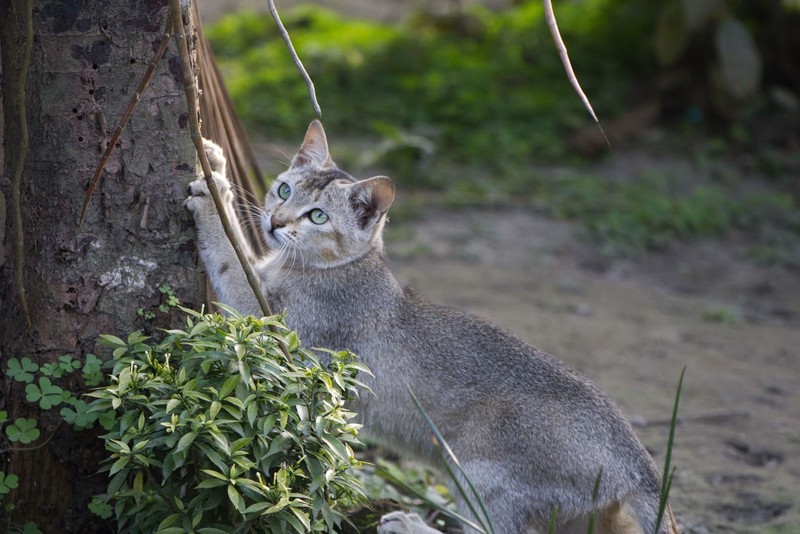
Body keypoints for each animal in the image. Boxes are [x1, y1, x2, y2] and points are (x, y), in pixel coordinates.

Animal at [184, 121, 680, 534]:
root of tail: (637, 458)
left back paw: (406, 524)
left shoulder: (278, 334)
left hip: (480, 478)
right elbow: (243, 250)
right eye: (284, 189)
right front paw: (212, 160)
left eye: (318, 216)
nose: (275, 220)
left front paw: (213, 196)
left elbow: (229, 256)